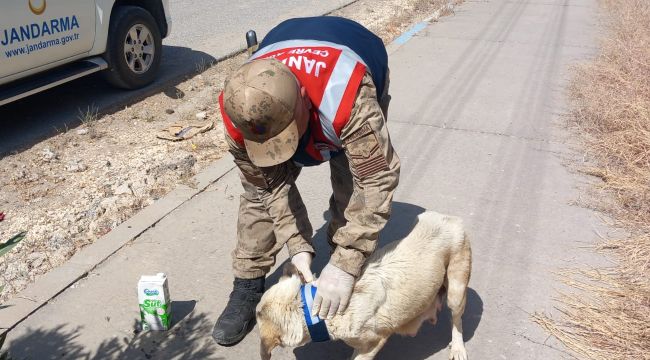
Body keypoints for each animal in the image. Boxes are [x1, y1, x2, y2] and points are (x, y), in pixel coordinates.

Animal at [253, 211, 470, 360]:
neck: (311, 307)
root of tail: (451, 218)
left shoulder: (374, 342)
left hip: (456, 290)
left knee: (457, 321)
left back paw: (458, 347)